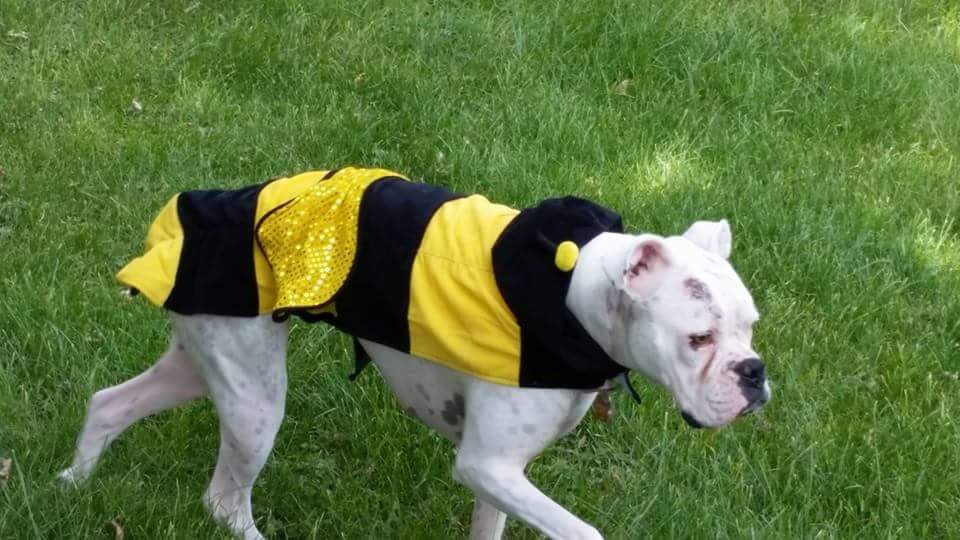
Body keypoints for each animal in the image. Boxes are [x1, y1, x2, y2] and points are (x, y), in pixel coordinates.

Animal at [60, 167, 768, 536]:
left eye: (751, 329)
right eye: (698, 338)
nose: (753, 373)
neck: (574, 293)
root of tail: (180, 221)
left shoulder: (500, 476)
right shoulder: (486, 465)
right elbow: (583, 530)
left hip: (205, 362)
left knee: (109, 403)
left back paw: (72, 483)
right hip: (255, 405)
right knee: (225, 501)